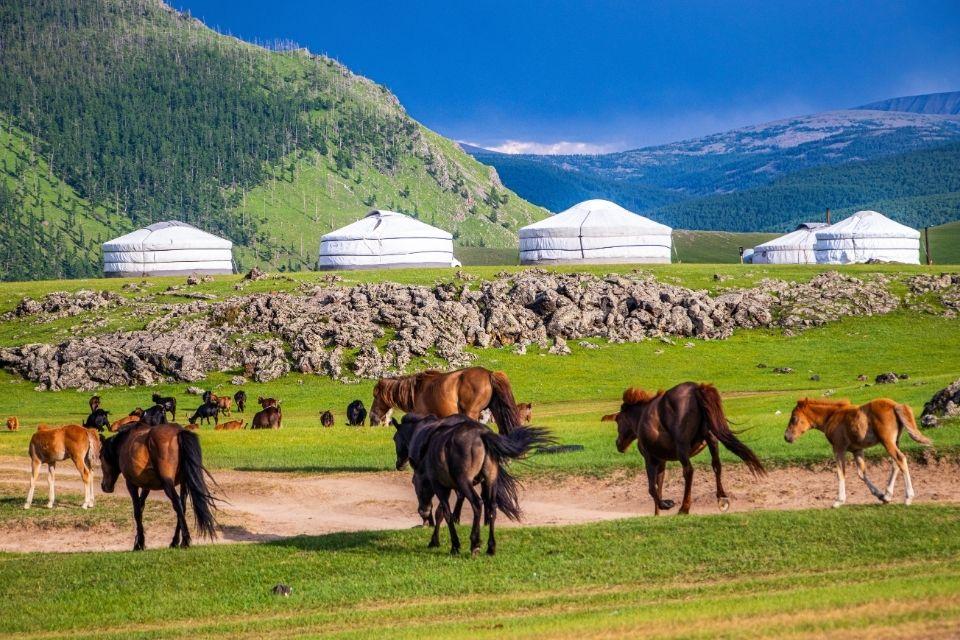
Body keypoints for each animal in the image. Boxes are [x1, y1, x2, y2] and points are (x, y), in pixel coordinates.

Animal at [371, 367, 524, 434]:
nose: (372, 417)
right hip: (496, 410)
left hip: (471, 412)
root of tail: (489, 373)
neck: (416, 390)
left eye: (375, 395)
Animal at [393, 413, 554, 555]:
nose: (423, 511)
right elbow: (443, 512)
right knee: (491, 507)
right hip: (490, 481)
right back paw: (491, 547)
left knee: (477, 503)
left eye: (395, 438)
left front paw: (453, 545)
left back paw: (475, 543)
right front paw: (436, 539)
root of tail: (482, 434)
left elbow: (445, 513)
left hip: (465, 482)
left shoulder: (440, 487)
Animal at [603, 382, 765, 515]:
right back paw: (721, 497)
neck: (641, 417)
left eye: (618, 421)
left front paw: (666, 504)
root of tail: (696, 388)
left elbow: (652, 488)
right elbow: (659, 486)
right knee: (716, 465)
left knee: (689, 471)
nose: (618, 444)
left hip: (682, 447)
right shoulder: (661, 461)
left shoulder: (649, 458)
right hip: (711, 438)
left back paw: (684, 508)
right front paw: (658, 513)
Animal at [784, 397, 932, 507]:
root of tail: (895, 405)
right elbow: (861, 473)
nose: (786, 437)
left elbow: (840, 473)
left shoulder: (838, 448)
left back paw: (908, 497)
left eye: (794, 418)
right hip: (895, 441)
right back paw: (888, 494)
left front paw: (838, 501)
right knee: (895, 463)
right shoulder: (857, 449)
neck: (832, 416)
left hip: (887, 441)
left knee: (900, 459)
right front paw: (881, 496)